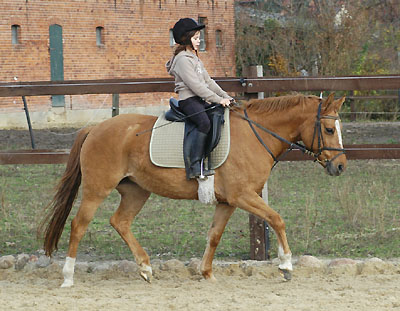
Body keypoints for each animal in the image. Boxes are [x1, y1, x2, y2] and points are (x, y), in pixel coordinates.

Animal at [38, 92, 346, 288]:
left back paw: (145, 268)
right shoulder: (243, 196)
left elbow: (214, 236)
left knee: (120, 222)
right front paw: (286, 266)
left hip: (137, 191)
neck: (256, 134)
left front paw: (207, 273)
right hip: (96, 189)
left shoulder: (228, 202)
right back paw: (68, 276)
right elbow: (277, 220)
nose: (341, 166)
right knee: (79, 225)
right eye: (329, 130)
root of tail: (95, 128)